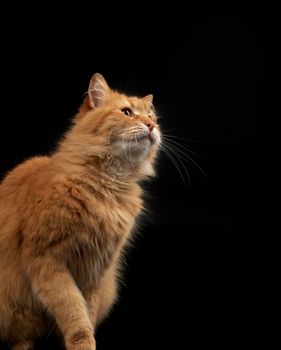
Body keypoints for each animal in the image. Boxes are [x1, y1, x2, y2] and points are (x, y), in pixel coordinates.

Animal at [0, 72, 160, 348]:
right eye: (127, 112)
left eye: (152, 116)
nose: (151, 126)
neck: (108, 186)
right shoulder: (45, 258)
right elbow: (73, 310)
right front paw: (82, 342)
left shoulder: (97, 268)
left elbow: (88, 310)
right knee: (21, 337)